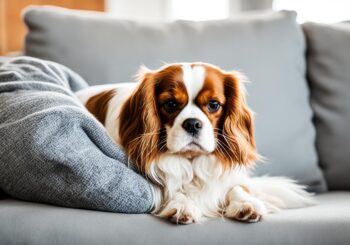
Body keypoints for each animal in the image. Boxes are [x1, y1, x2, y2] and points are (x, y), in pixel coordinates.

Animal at [76, 62, 314, 224]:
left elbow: (236, 187)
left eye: (214, 104)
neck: (191, 161)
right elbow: (174, 189)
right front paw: (183, 205)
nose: (192, 123)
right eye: (170, 104)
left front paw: (245, 203)